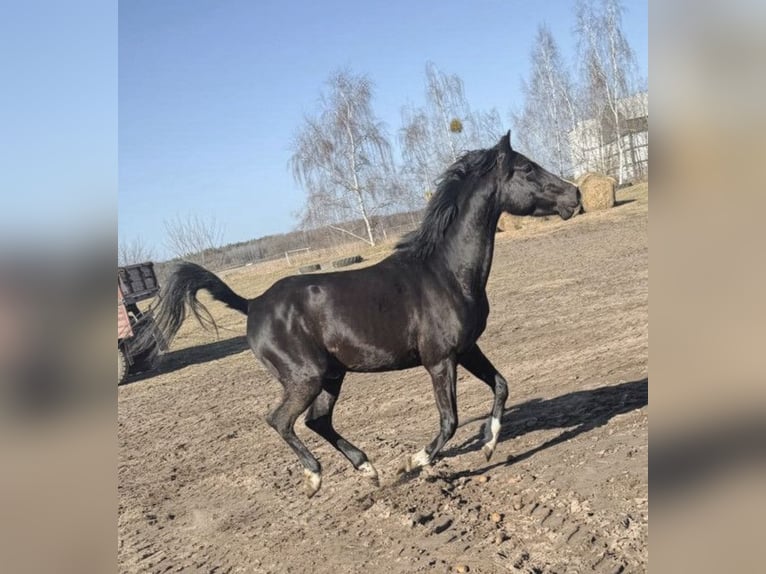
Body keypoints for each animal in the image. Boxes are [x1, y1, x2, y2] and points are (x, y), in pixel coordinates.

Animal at [143, 131, 581, 497]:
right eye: (527, 168)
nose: (575, 195)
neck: (446, 272)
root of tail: (253, 303)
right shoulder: (440, 360)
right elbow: (450, 420)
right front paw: (415, 462)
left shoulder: (467, 349)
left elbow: (502, 386)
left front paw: (489, 445)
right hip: (305, 377)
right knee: (281, 420)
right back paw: (315, 477)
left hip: (332, 376)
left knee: (317, 420)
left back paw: (368, 469)